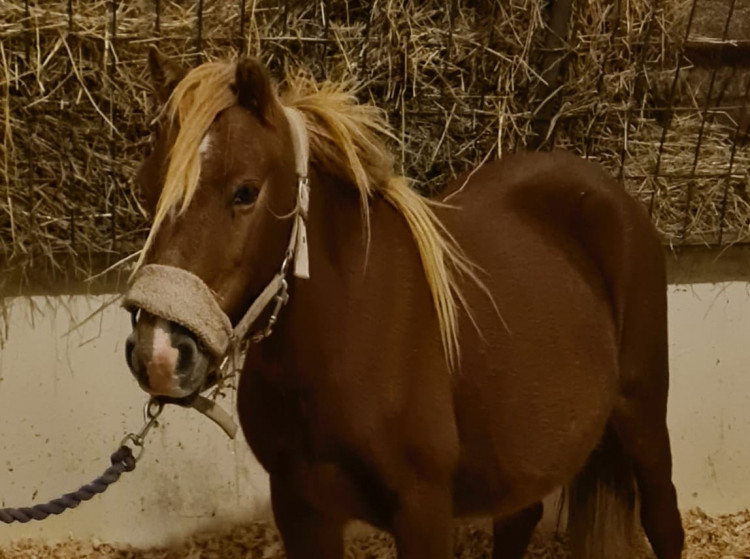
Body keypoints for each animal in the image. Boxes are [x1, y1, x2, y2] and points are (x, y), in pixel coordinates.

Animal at [123, 49, 688, 559]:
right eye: (145, 188)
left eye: (244, 192)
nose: (159, 353)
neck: (346, 336)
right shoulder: (302, 509)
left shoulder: (423, 511)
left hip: (642, 416)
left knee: (665, 524)